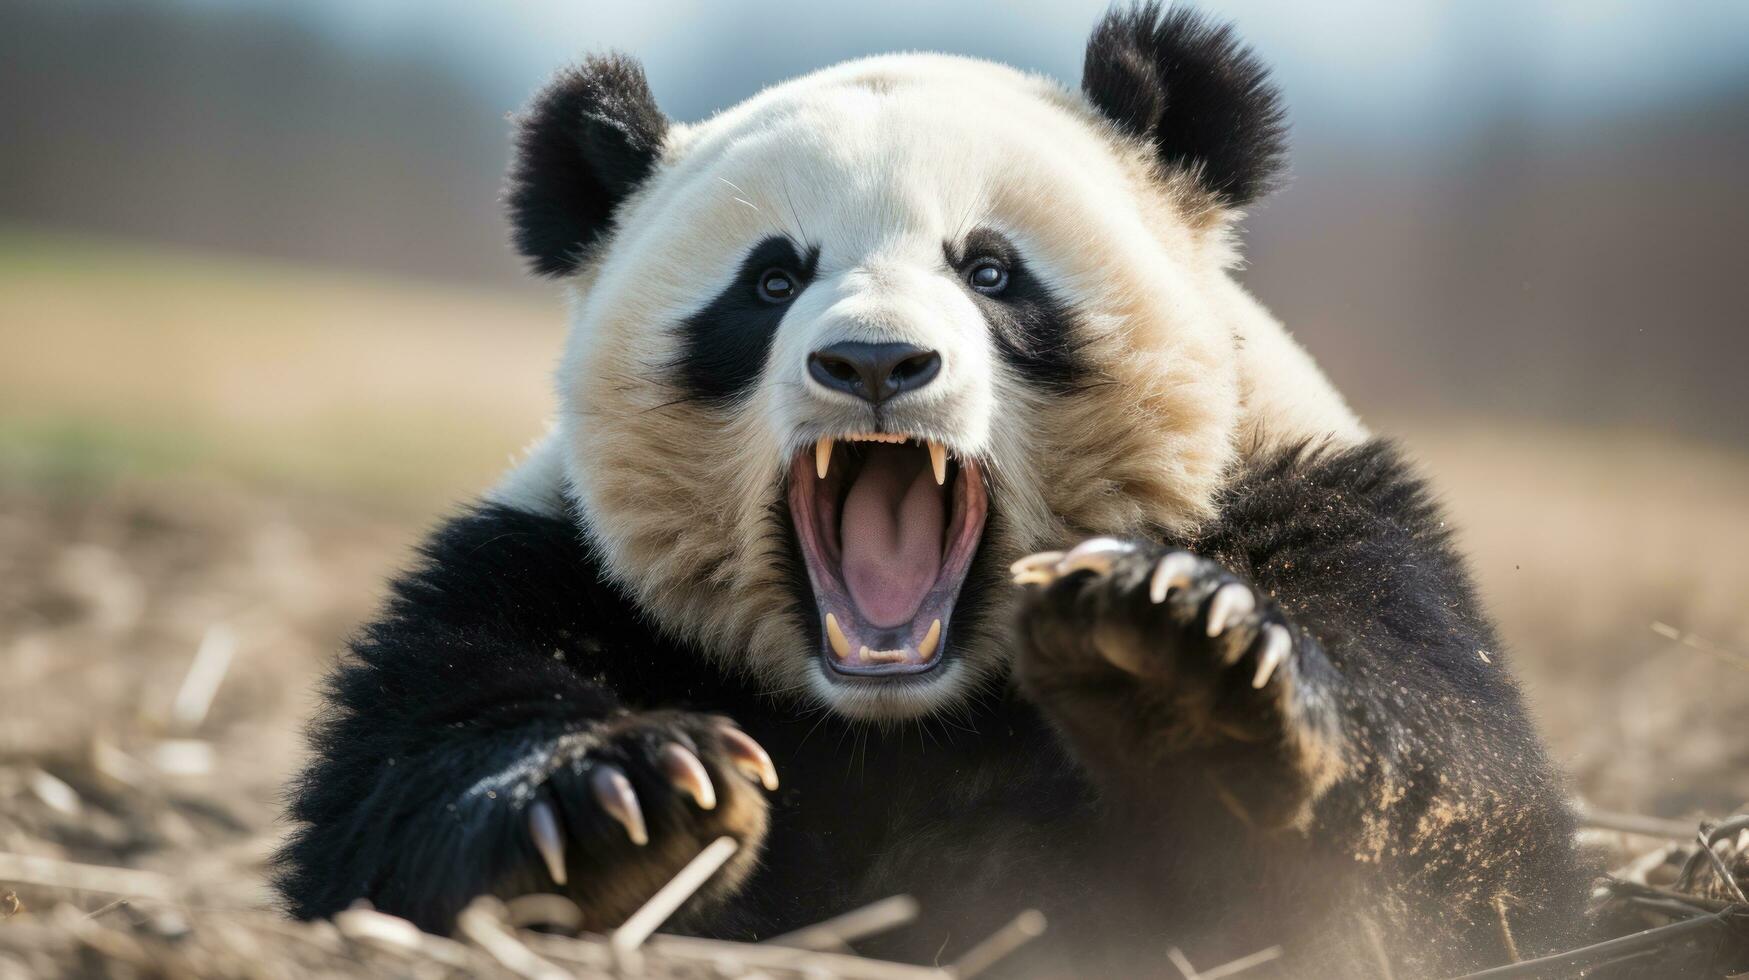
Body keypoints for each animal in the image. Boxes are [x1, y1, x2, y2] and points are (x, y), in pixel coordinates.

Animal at [269, 3, 1588, 973]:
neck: (906, 714)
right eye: (770, 279)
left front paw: (1174, 661)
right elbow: (402, 772)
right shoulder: (551, 564)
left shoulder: (1316, 506)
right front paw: (625, 805)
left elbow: (1461, 842)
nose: (874, 362)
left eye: (992, 269)